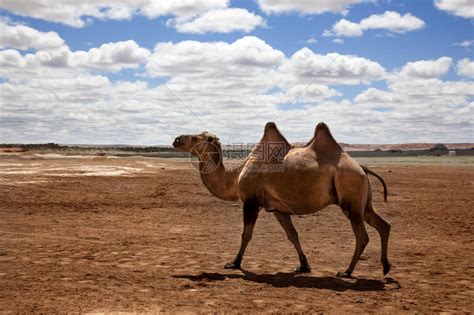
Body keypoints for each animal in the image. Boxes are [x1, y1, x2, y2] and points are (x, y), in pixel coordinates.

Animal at [172, 122, 390, 278]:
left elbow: (246, 235)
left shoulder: (251, 203)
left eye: (195, 137)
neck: (235, 176)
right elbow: (293, 235)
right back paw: (386, 267)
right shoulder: (277, 208)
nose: (176, 139)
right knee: (383, 225)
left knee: (362, 236)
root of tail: (362, 168)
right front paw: (304, 266)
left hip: (350, 196)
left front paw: (234, 263)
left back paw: (347, 272)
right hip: (363, 203)